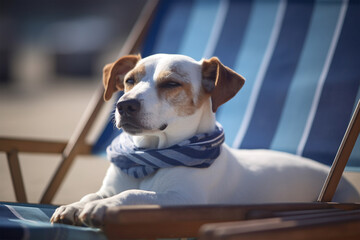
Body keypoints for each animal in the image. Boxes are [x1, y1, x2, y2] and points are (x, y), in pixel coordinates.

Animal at [50, 53, 360, 227]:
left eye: (171, 84)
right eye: (129, 81)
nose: (124, 105)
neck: (151, 158)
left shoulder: (184, 201)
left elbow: (134, 194)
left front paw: (103, 207)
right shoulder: (111, 187)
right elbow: (93, 195)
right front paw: (76, 205)